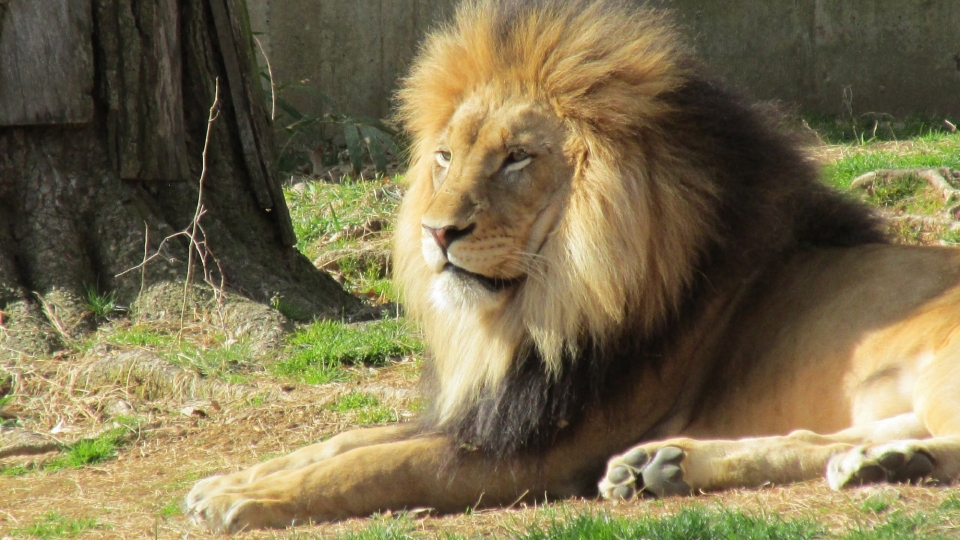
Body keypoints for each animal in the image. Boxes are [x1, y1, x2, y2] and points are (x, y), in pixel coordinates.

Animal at [184, 0, 960, 532]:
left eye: (516, 159)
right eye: (445, 157)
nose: (437, 232)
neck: (542, 308)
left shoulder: (540, 451)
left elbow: (376, 466)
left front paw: (246, 497)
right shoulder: (495, 414)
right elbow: (346, 440)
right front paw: (228, 479)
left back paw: (893, 463)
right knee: (835, 436)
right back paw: (673, 465)